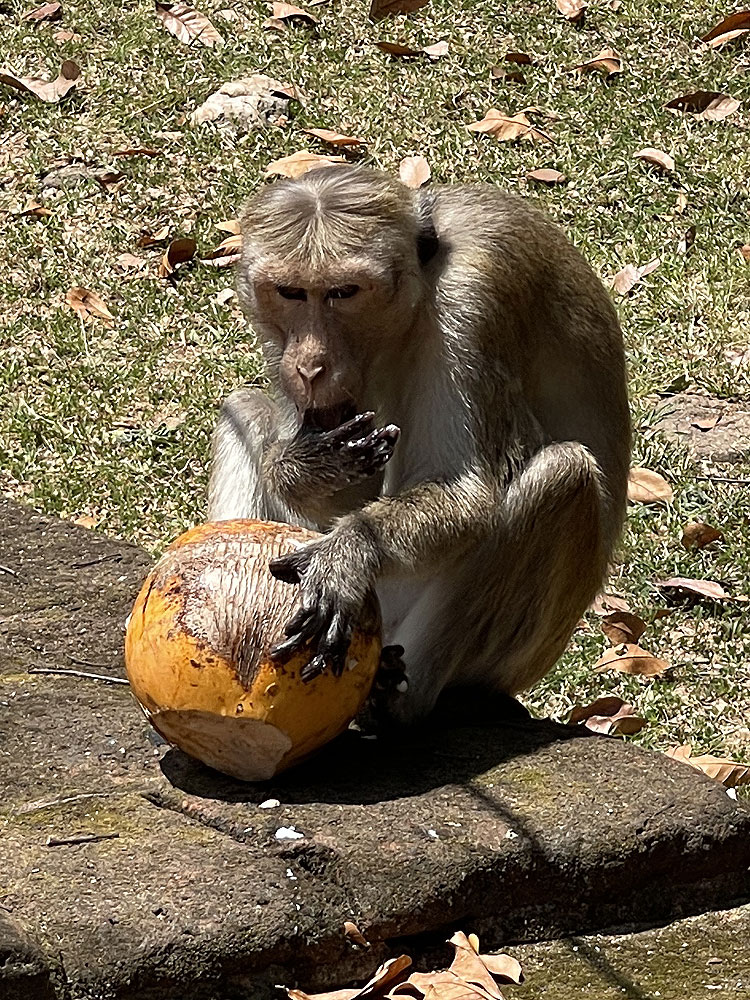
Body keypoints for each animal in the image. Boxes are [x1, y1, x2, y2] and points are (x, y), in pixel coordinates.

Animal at [208, 165, 631, 725]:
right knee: (248, 409)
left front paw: (350, 547)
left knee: (563, 475)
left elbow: (467, 490)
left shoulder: (472, 299)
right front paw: (304, 467)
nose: (311, 365)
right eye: (290, 292)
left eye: (344, 292)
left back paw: (400, 700)